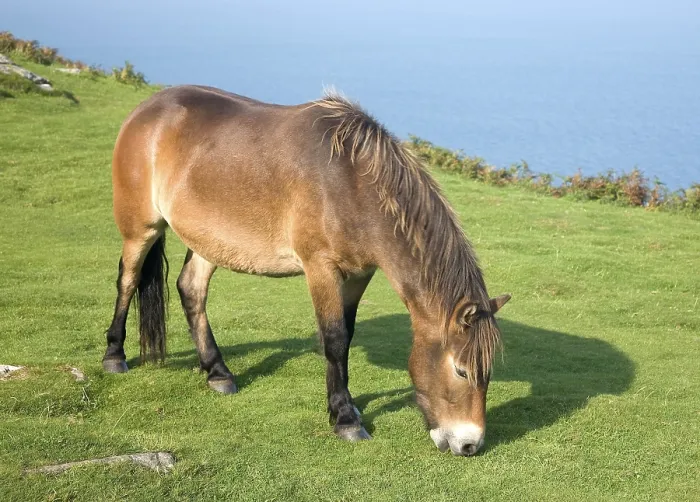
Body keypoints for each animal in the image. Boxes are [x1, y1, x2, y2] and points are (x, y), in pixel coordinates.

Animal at [102, 85, 511, 456]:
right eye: (461, 370)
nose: (470, 444)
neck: (350, 182)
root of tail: (148, 109)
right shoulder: (320, 267)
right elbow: (334, 338)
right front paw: (345, 419)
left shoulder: (359, 274)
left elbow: (347, 335)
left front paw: (346, 405)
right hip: (141, 228)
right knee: (128, 280)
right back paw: (114, 356)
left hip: (208, 240)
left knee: (191, 290)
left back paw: (218, 372)